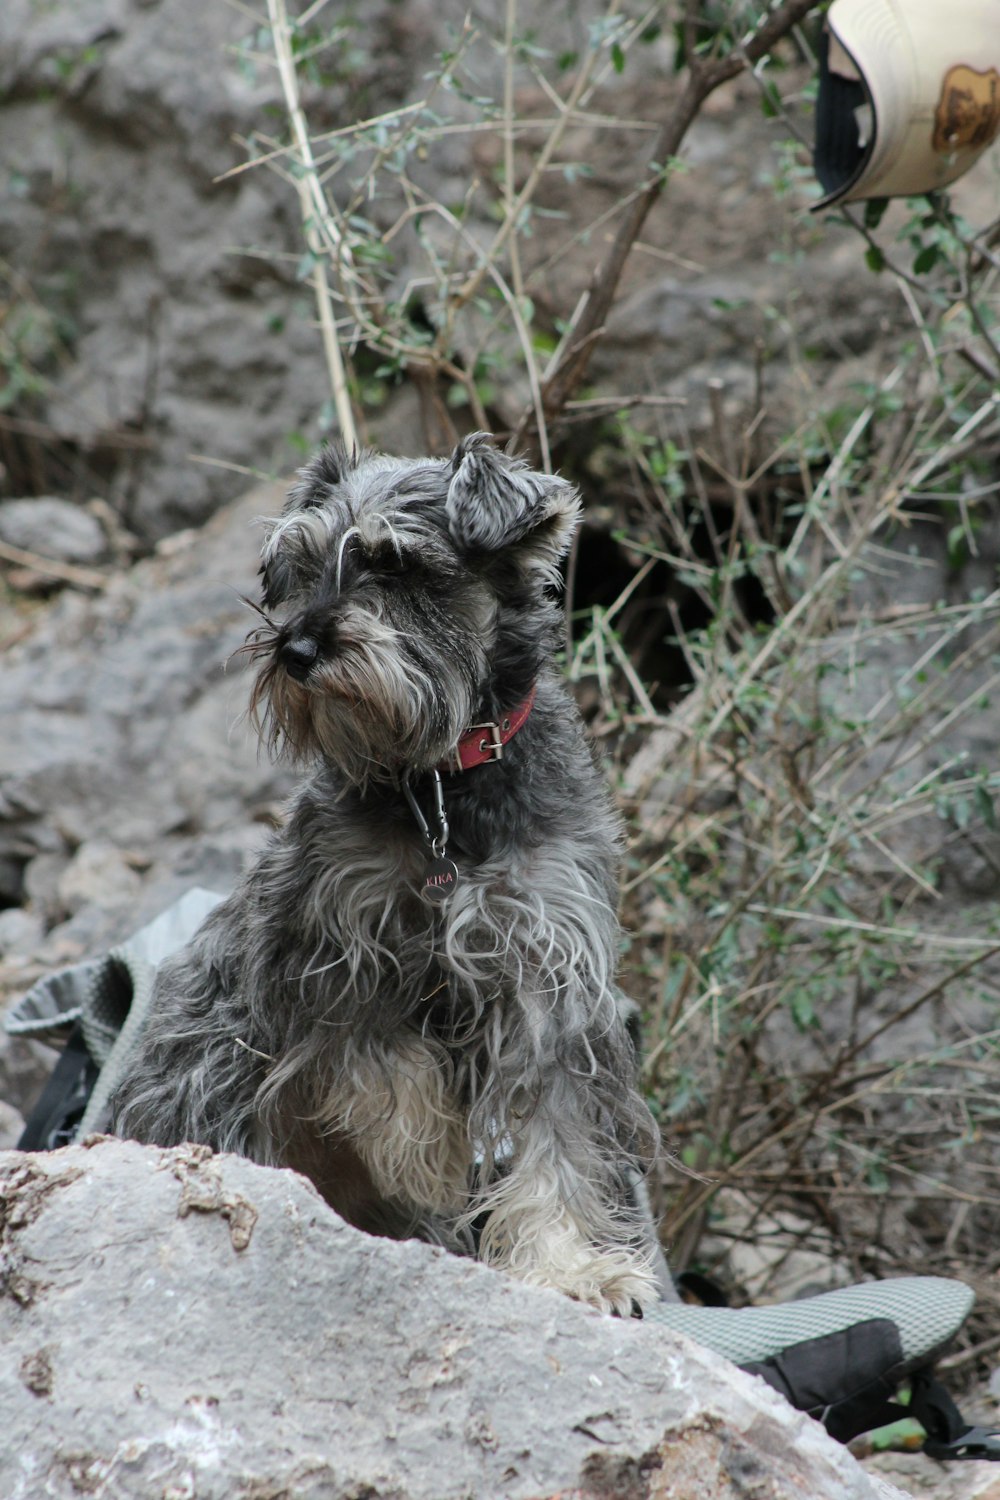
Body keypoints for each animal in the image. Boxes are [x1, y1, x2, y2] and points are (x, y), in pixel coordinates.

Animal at [113, 432, 665, 1314]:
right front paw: (427, 1152)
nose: (297, 650)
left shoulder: (547, 976)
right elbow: (387, 1069)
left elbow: (556, 1134)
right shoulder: (337, 952)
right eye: (301, 567)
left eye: (396, 564)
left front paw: (573, 1268)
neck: (441, 784)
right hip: (212, 1064)